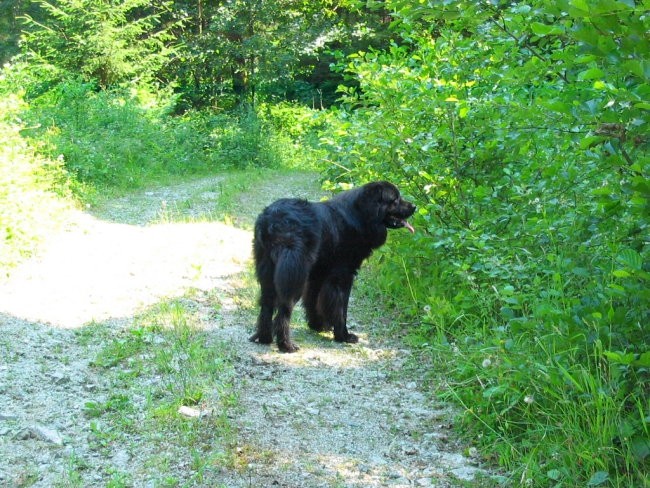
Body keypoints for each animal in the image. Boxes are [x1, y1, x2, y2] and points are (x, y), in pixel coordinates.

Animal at [248, 181, 416, 352]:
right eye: (395, 200)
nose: (415, 206)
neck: (360, 215)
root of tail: (272, 219)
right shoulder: (343, 275)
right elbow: (341, 309)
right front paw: (343, 336)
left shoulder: (318, 274)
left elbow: (313, 300)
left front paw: (317, 325)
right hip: (295, 274)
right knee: (284, 309)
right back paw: (286, 345)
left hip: (268, 271)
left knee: (266, 305)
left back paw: (264, 338)